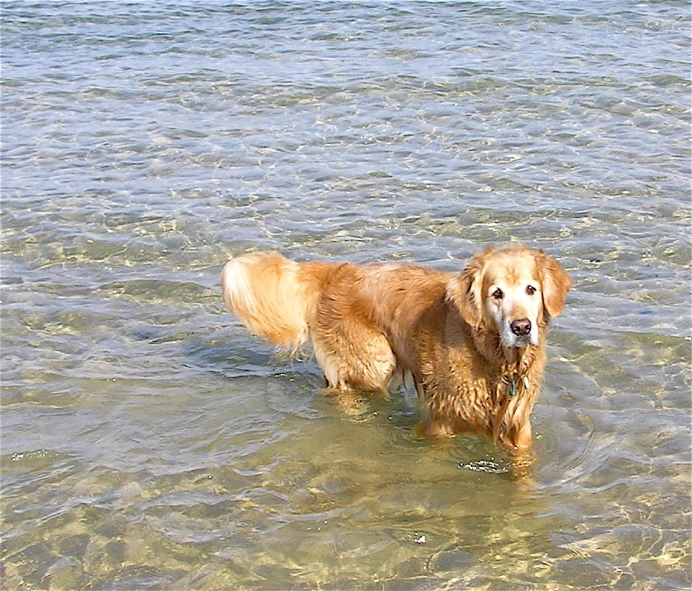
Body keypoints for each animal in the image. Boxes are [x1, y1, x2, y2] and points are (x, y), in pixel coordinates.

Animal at [220, 247, 568, 456]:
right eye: (496, 294)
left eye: (531, 289)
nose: (521, 327)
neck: (493, 360)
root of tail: (338, 271)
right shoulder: (440, 424)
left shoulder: (519, 426)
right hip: (375, 360)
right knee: (339, 389)